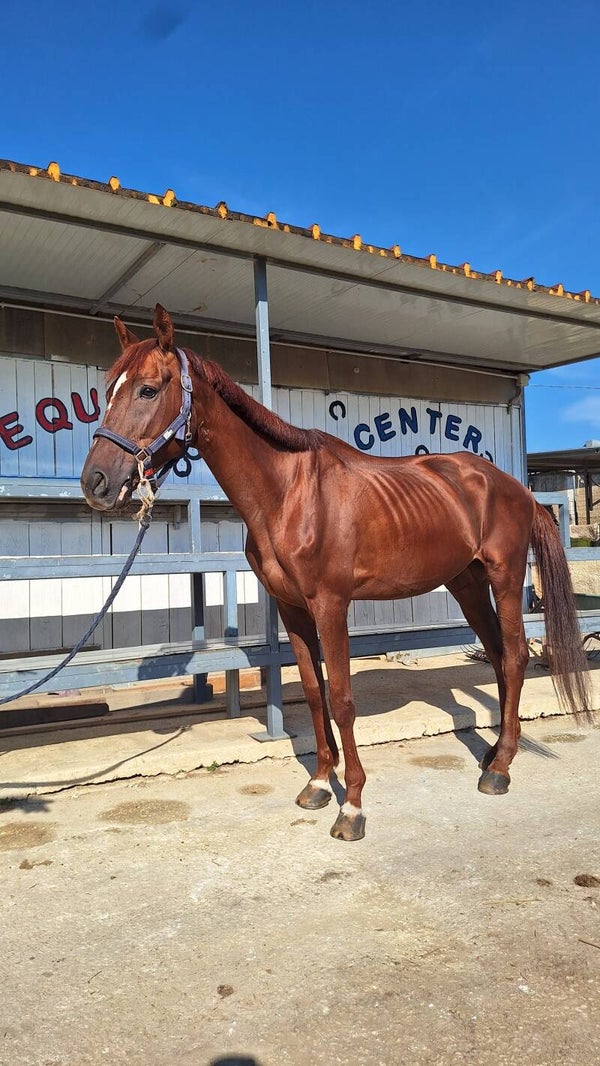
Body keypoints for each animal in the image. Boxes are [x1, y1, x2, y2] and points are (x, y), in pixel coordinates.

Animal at [81, 304, 591, 841]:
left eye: (147, 390)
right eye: (108, 389)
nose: (96, 482)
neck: (288, 494)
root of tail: (515, 486)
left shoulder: (331, 604)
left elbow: (343, 698)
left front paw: (353, 806)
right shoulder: (292, 609)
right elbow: (312, 693)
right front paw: (320, 784)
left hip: (505, 577)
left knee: (514, 657)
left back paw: (501, 768)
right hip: (466, 583)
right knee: (495, 656)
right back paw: (492, 753)